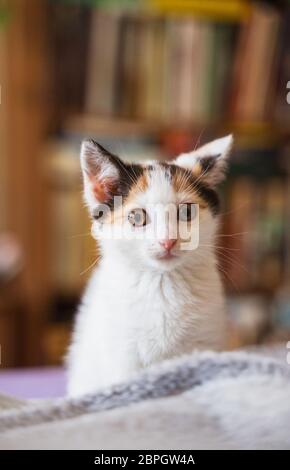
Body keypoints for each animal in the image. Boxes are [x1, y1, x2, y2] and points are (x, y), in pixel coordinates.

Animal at [66, 134, 233, 394]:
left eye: (187, 212)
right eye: (137, 217)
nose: (168, 241)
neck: (162, 283)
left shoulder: (205, 343)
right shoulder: (122, 354)